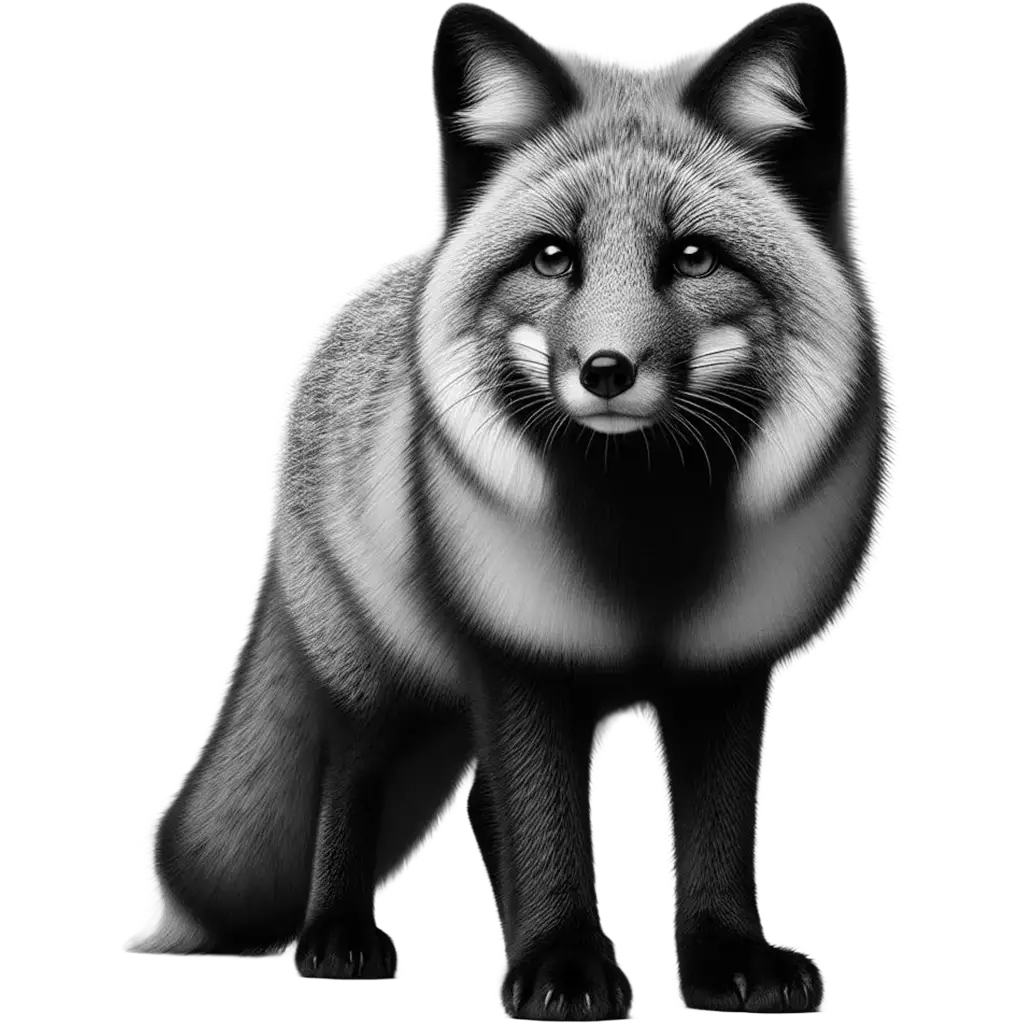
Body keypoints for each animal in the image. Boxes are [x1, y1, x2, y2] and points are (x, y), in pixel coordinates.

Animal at [123, 0, 897, 1019]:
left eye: (693, 256)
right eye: (552, 258)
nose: (606, 370)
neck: (644, 544)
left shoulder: (724, 669)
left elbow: (717, 837)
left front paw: (726, 958)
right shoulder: (517, 655)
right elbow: (543, 827)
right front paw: (563, 964)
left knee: (481, 806)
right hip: (378, 677)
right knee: (354, 779)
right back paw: (336, 938)